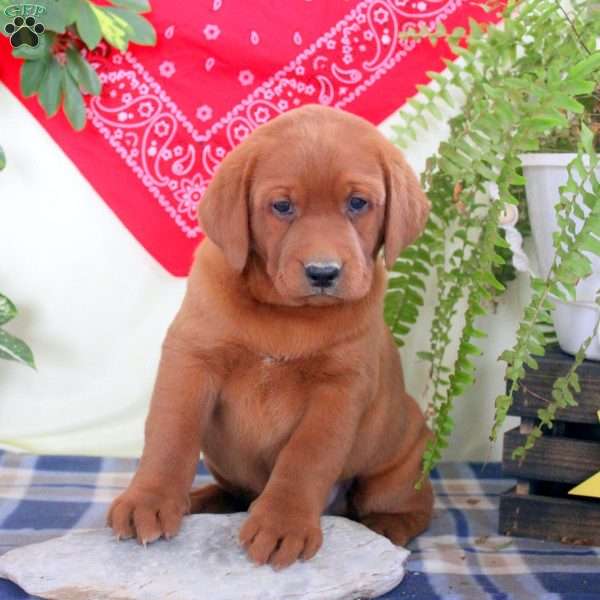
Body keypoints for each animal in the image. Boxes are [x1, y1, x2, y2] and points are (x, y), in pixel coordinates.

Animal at [109, 105, 432, 568]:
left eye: (357, 203)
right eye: (282, 206)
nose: (323, 272)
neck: (285, 314)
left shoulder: (339, 390)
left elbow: (306, 457)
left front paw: (283, 524)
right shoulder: (190, 359)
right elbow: (169, 434)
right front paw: (148, 500)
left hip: (401, 461)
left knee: (415, 505)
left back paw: (387, 527)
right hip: (227, 464)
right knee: (234, 493)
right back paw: (202, 500)